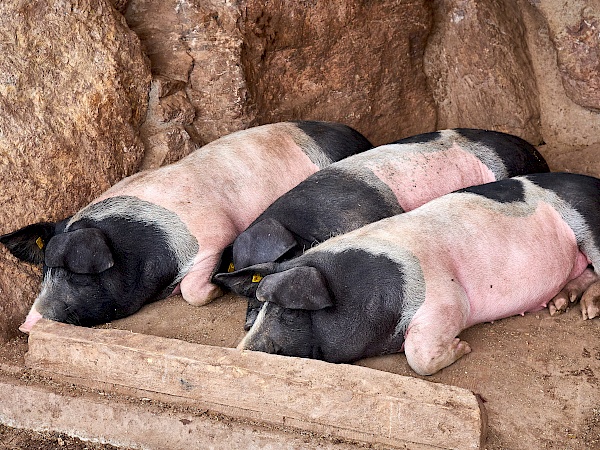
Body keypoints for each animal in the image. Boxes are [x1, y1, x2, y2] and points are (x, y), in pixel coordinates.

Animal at [0, 121, 372, 332]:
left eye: (76, 273)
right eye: (45, 270)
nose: (26, 325)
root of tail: (358, 136)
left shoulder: (214, 235)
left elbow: (194, 291)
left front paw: (209, 289)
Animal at [214, 173, 600, 376]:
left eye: (290, 311)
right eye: (258, 309)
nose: (245, 350)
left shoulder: (446, 299)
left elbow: (418, 354)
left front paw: (462, 347)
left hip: (590, 224)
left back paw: (586, 310)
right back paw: (560, 304)